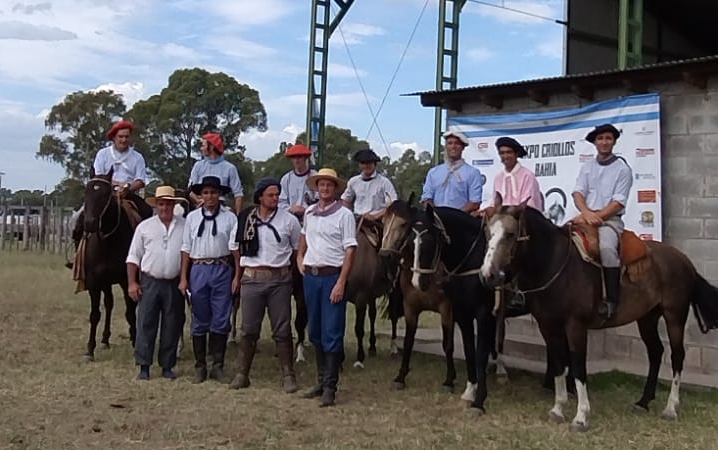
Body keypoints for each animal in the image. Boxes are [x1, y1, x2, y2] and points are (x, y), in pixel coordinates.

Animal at [80, 172, 139, 362]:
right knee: (109, 304)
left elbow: (130, 312)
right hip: (106, 283)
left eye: (106, 193)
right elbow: (94, 315)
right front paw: (90, 350)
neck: (108, 242)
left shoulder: (127, 281)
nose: (90, 223)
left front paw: (136, 343)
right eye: (87, 191)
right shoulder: (94, 282)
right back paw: (105, 339)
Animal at [480, 194, 718, 432]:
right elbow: (558, 364)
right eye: (488, 232)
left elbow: (577, 366)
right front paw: (557, 409)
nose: (488, 275)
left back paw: (670, 408)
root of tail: (684, 260)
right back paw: (643, 402)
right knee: (656, 352)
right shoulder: (547, 326)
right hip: (647, 318)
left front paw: (581, 417)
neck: (557, 266)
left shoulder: (575, 326)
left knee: (677, 356)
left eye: (510, 234)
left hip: (674, 315)